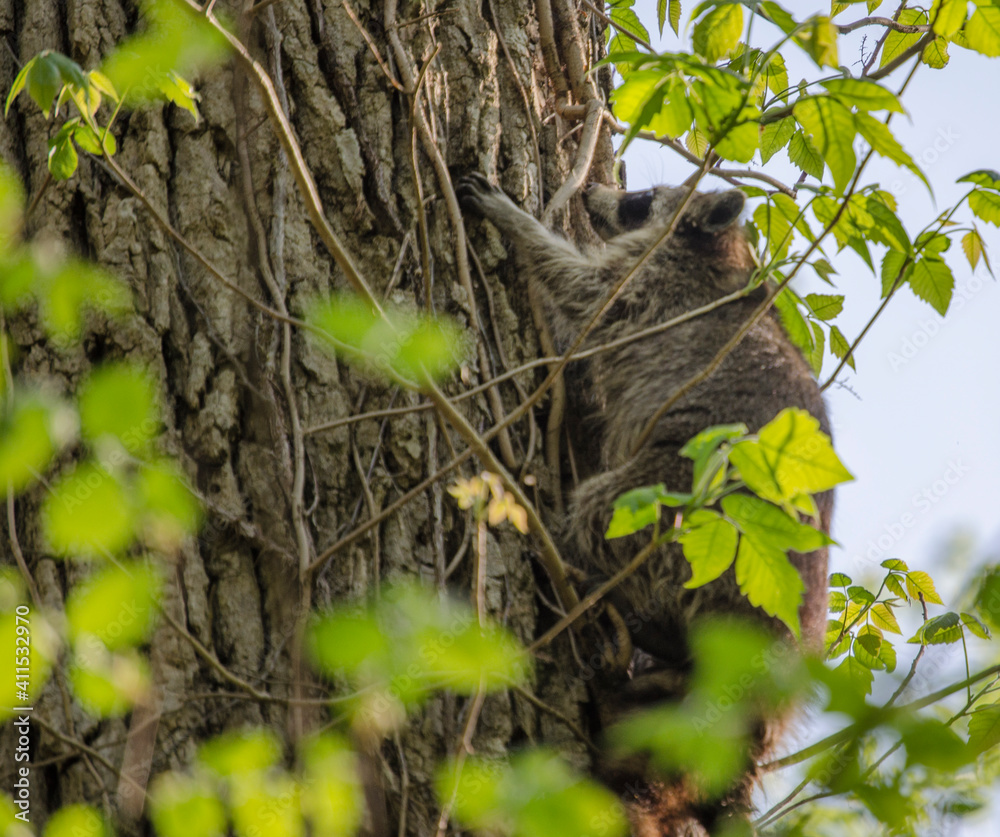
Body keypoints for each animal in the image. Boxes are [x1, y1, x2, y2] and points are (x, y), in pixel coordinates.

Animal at [458, 173, 833, 832]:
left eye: (641, 199)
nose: (593, 193)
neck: (721, 254)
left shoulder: (650, 285)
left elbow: (583, 293)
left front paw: (519, 225)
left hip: (688, 507)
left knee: (599, 510)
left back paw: (567, 556)